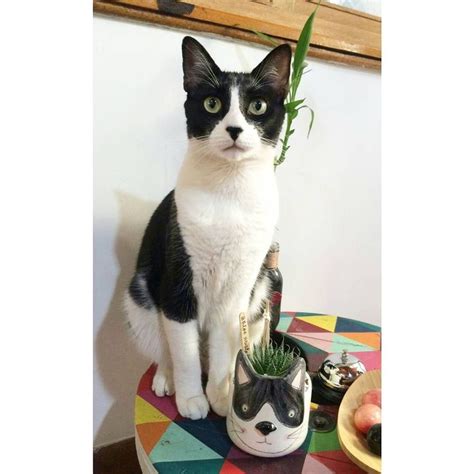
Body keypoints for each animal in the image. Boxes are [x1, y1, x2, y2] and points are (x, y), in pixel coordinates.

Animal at [124, 39, 290, 420]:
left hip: (259, 295)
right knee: (166, 348)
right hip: (141, 295)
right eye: (212, 104)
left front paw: (219, 395)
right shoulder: (178, 285)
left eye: (257, 106)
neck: (229, 188)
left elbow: (223, 350)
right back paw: (166, 379)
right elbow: (183, 351)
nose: (234, 130)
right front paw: (191, 399)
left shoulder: (237, 294)